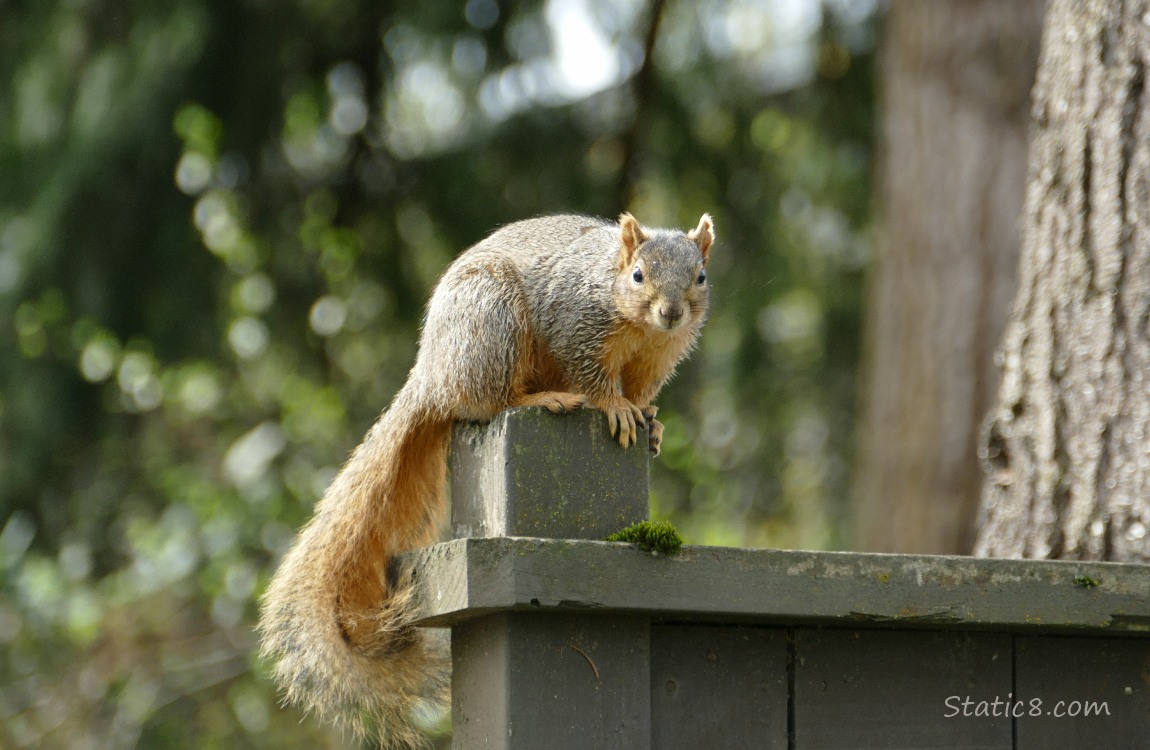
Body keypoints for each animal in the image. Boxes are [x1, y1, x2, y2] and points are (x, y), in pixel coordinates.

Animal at [258, 212, 714, 746]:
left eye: (701, 276)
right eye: (638, 275)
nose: (672, 312)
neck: (638, 325)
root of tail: (432, 373)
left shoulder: (658, 355)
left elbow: (642, 390)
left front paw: (649, 418)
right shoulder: (574, 324)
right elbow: (592, 376)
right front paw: (615, 407)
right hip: (493, 324)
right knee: (491, 399)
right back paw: (545, 398)